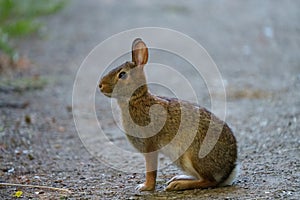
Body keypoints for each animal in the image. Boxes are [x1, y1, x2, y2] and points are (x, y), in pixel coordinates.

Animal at [99, 38, 238, 191]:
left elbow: (151, 171)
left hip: (194, 156)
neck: (137, 99)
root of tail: (228, 170)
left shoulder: (150, 146)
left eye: (122, 75)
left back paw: (178, 185)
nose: (100, 85)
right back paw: (178, 179)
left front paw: (145, 187)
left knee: (209, 181)